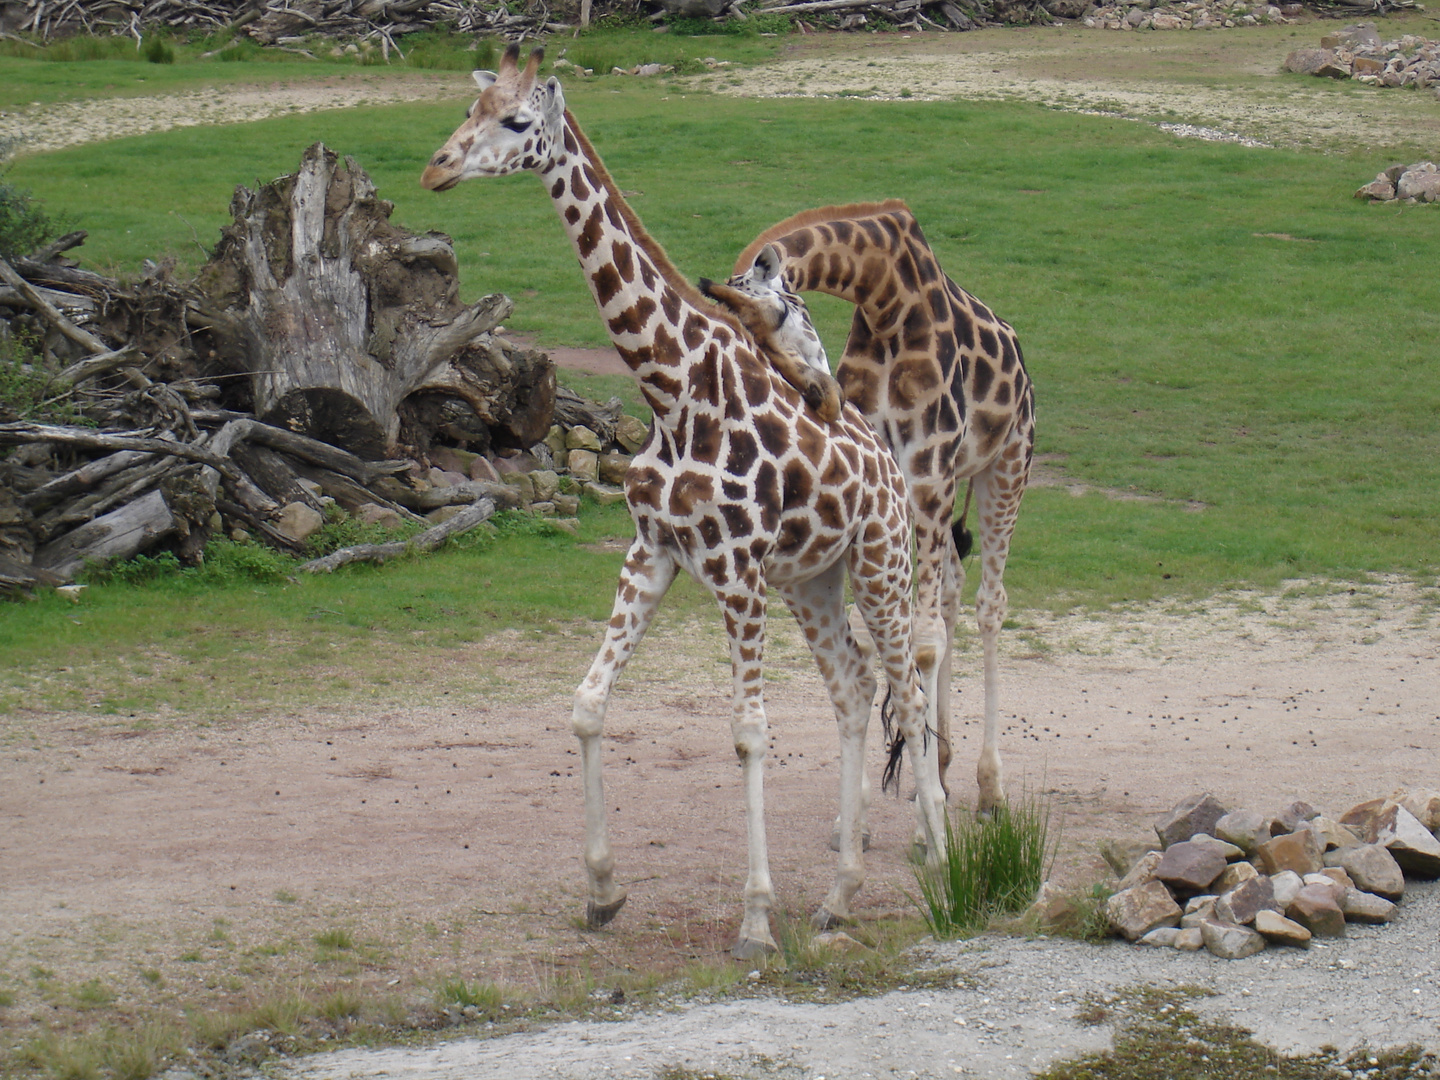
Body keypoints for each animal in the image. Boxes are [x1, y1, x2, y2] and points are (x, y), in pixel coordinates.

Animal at [420, 46, 950, 961]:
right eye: (467, 108)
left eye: (517, 121)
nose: (437, 169)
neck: (672, 390)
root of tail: (883, 458)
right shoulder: (654, 551)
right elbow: (588, 705)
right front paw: (603, 892)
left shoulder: (735, 569)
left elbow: (748, 732)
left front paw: (755, 921)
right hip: (810, 580)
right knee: (852, 691)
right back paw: (839, 896)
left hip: (880, 561)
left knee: (907, 695)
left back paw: (945, 862)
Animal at [731, 198, 1036, 817]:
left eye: (779, 319)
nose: (820, 398)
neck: (884, 297)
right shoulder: (880, 468)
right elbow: (881, 639)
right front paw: (867, 802)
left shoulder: (927, 470)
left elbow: (921, 642)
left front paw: (923, 802)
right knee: (952, 591)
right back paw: (942, 760)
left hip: (1006, 465)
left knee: (990, 604)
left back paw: (988, 785)